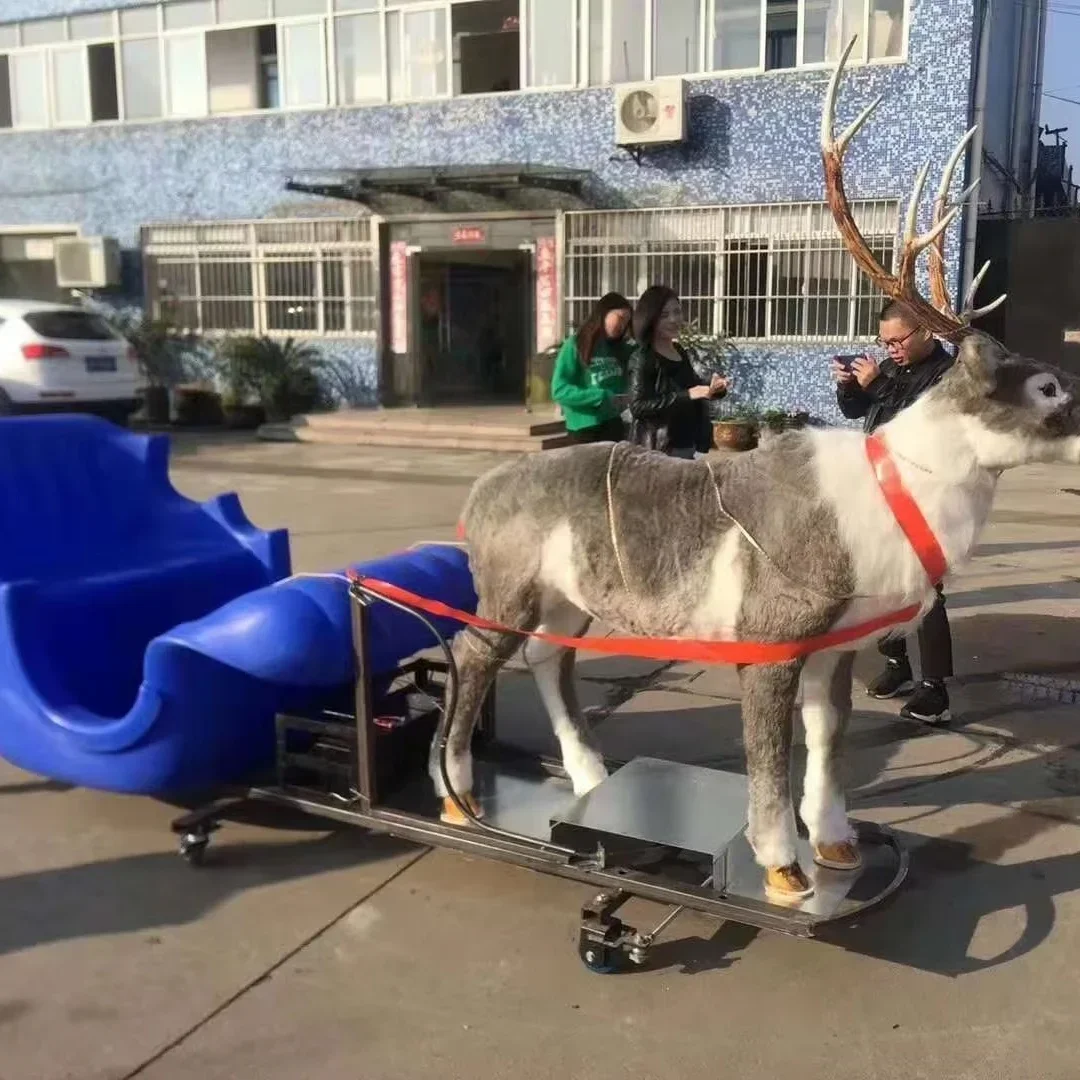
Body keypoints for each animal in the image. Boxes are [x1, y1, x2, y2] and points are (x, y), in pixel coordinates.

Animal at [431, 38, 1080, 902]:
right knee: (472, 652)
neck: (890, 497)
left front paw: (835, 846)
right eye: (1045, 388)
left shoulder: (839, 643)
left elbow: (829, 740)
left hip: (569, 597)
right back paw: (459, 795)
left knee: (547, 655)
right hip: (508, 585)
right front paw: (781, 868)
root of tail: (478, 493)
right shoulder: (768, 637)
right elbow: (770, 755)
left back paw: (590, 777)